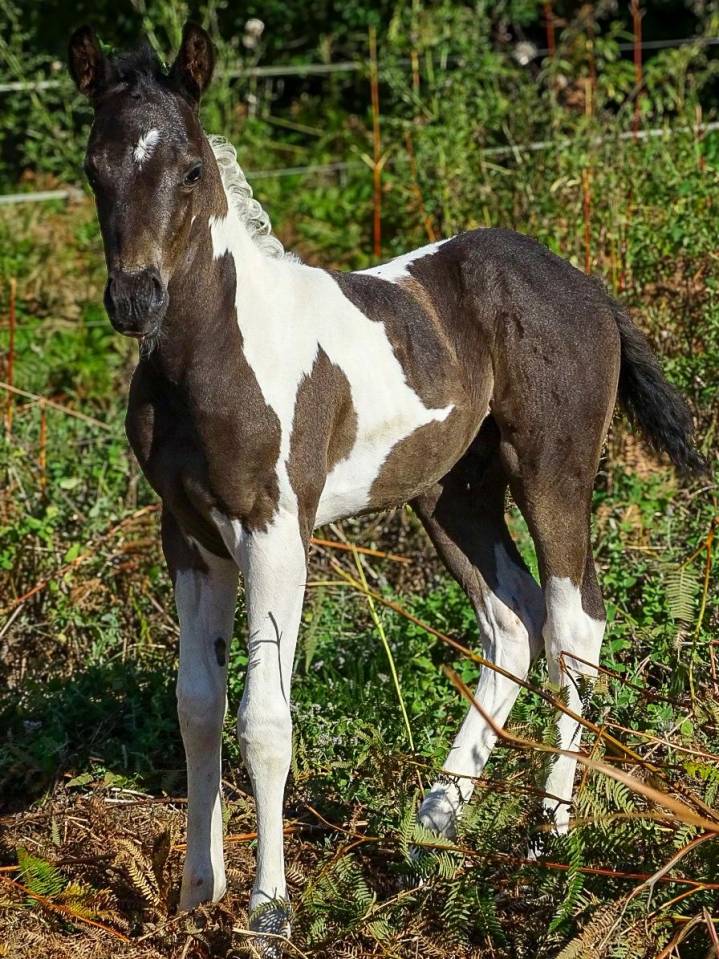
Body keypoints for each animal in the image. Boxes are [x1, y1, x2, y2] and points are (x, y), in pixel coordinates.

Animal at [68, 21, 704, 954]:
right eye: (94, 165)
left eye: (187, 169)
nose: (135, 298)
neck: (213, 350)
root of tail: (584, 283)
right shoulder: (186, 533)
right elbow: (197, 705)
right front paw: (194, 893)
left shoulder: (275, 530)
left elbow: (264, 719)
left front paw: (268, 913)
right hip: (450, 494)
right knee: (511, 622)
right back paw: (432, 826)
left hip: (552, 470)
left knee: (574, 623)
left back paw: (548, 831)